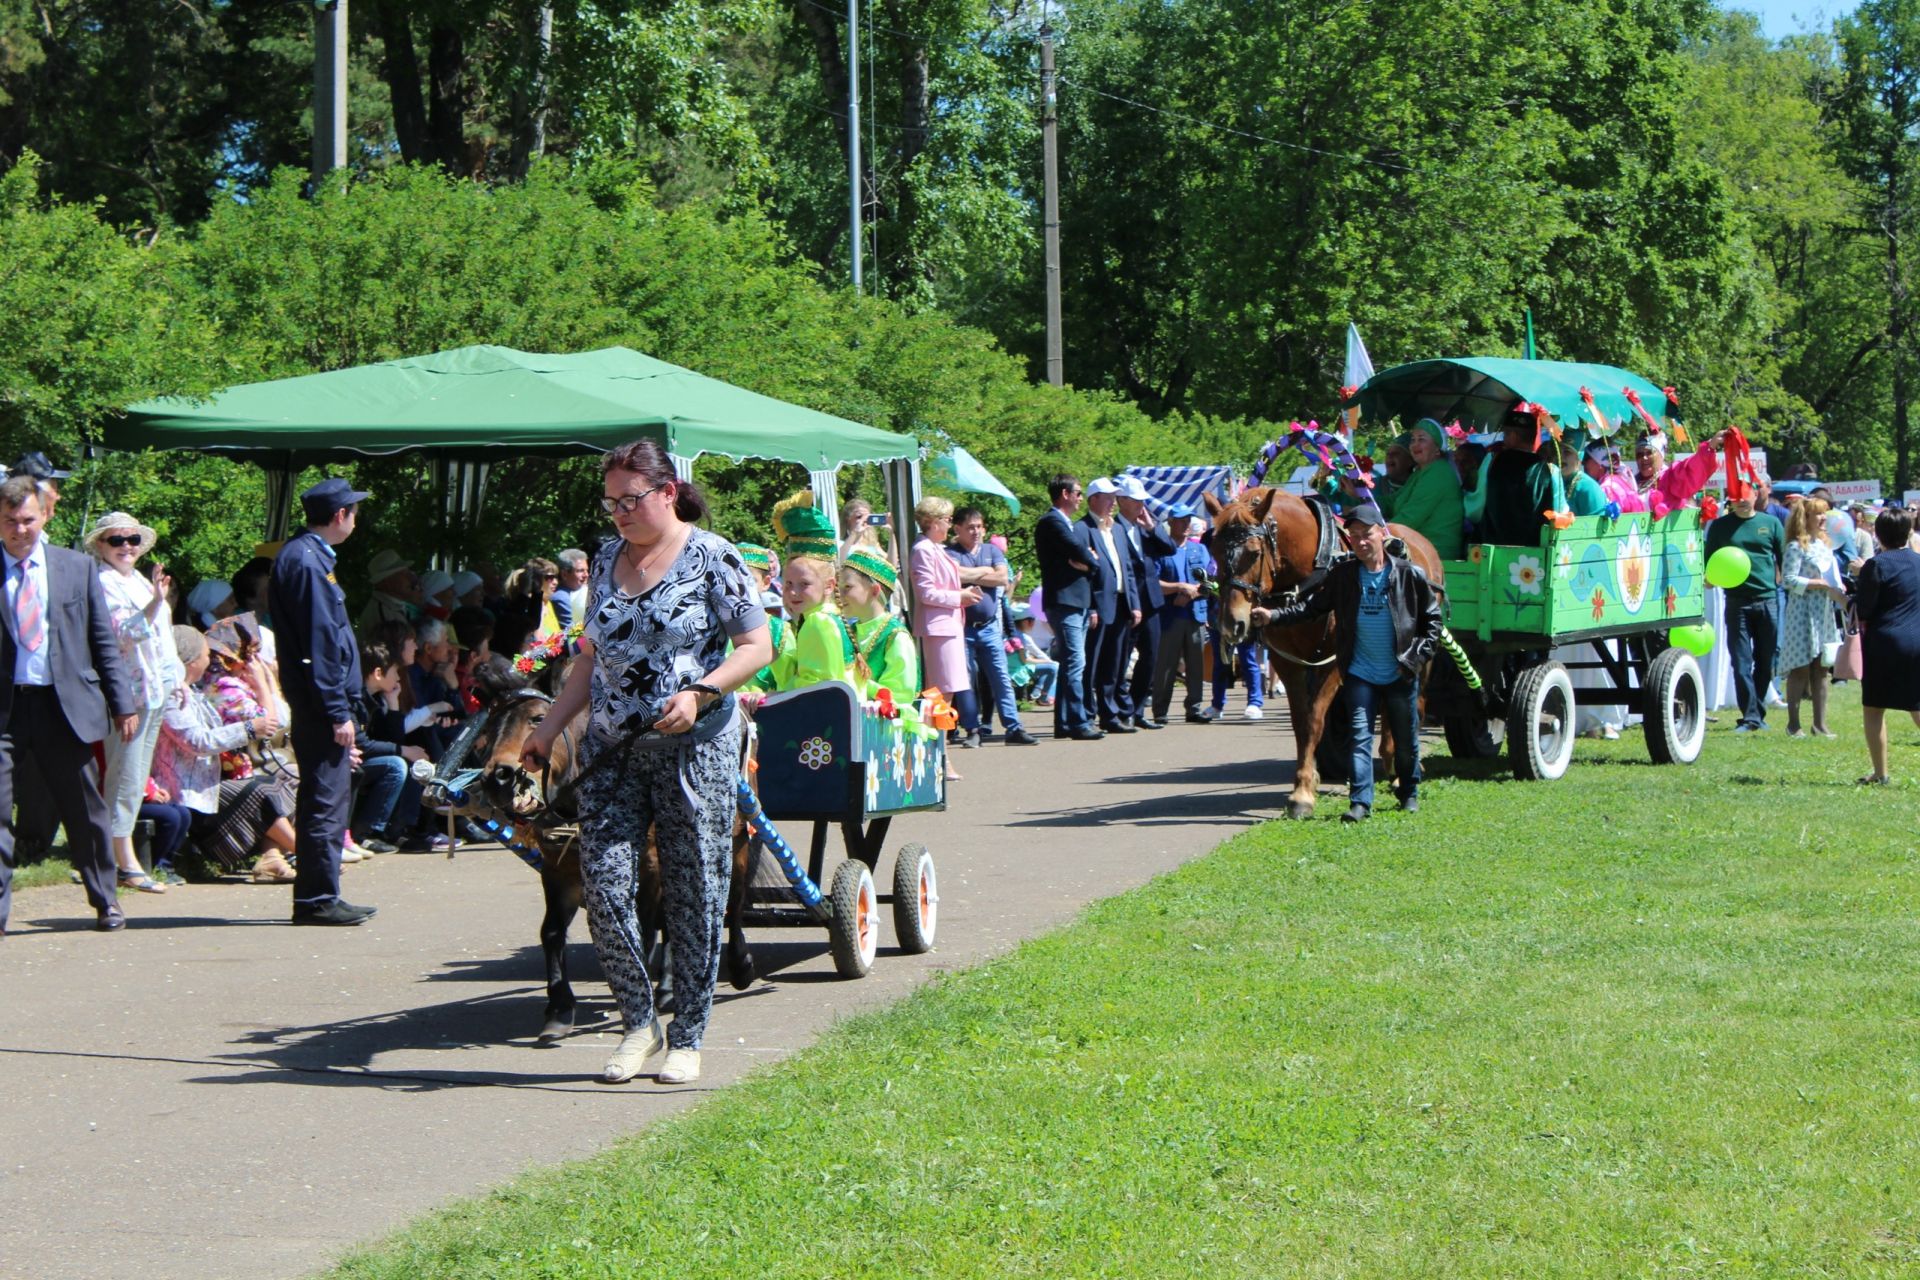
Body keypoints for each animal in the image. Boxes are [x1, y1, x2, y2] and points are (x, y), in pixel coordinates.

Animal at [1198, 485, 1443, 817]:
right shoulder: (1287, 661)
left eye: (1255, 552)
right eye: (1213, 551)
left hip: (1422, 652)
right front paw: (1305, 783)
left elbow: (1316, 719)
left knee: (1412, 704)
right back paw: (1390, 761)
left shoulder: (1334, 662)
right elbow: (1301, 723)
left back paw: (1403, 771)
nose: (1231, 624)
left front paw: (1304, 793)